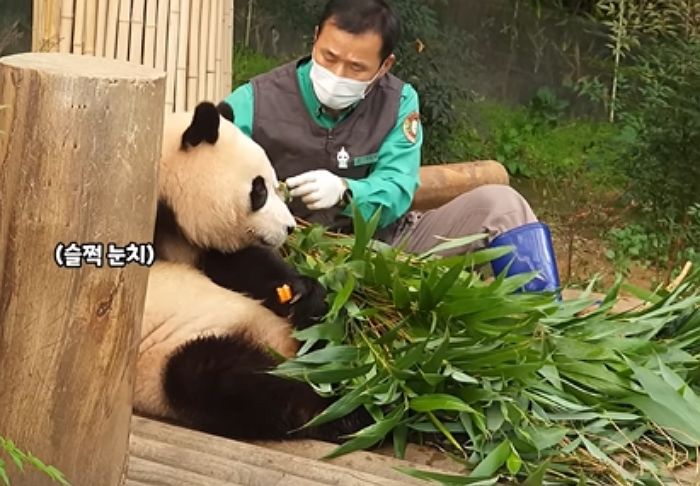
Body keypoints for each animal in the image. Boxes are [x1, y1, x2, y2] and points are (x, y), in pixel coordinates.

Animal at [133, 100, 370, 442]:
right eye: (259, 191)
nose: (289, 227)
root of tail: (283, 349)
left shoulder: (195, 245)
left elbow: (240, 264)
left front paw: (303, 293)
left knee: (325, 339)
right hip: (172, 357)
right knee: (223, 380)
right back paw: (340, 411)